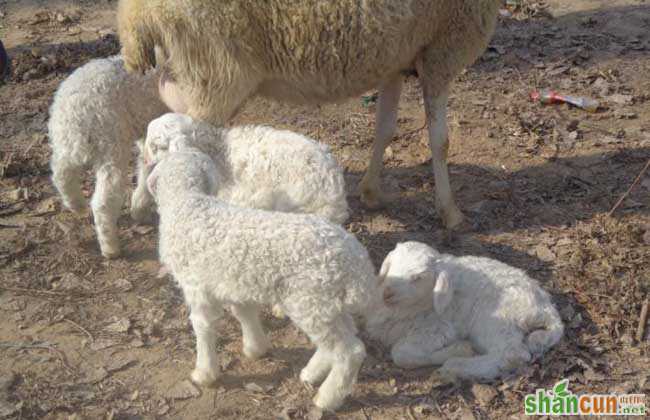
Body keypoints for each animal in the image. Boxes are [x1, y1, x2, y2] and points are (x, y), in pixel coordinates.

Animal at [48, 55, 167, 260]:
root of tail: (78, 110)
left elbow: (147, 167)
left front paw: (139, 208)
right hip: (110, 145)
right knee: (103, 201)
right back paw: (111, 248)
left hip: (64, 141)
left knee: (60, 173)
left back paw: (76, 204)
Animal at [144, 150, 372, 410]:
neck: (187, 202)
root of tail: (358, 263)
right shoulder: (236, 282)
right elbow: (245, 313)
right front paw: (256, 348)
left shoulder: (197, 287)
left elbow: (203, 327)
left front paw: (204, 373)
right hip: (329, 304)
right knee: (338, 340)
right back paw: (311, 374)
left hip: (311, 301)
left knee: (350, 351)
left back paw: (326, 398)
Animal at [364, 241, 560, 382]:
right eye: (391, 265)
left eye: (418, 278)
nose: (387, 293)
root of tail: (546, 308)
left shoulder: (438, 327)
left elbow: (401, 354)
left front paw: (459, 349)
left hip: (495, 318)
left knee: (512, 354)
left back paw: (456, 366)